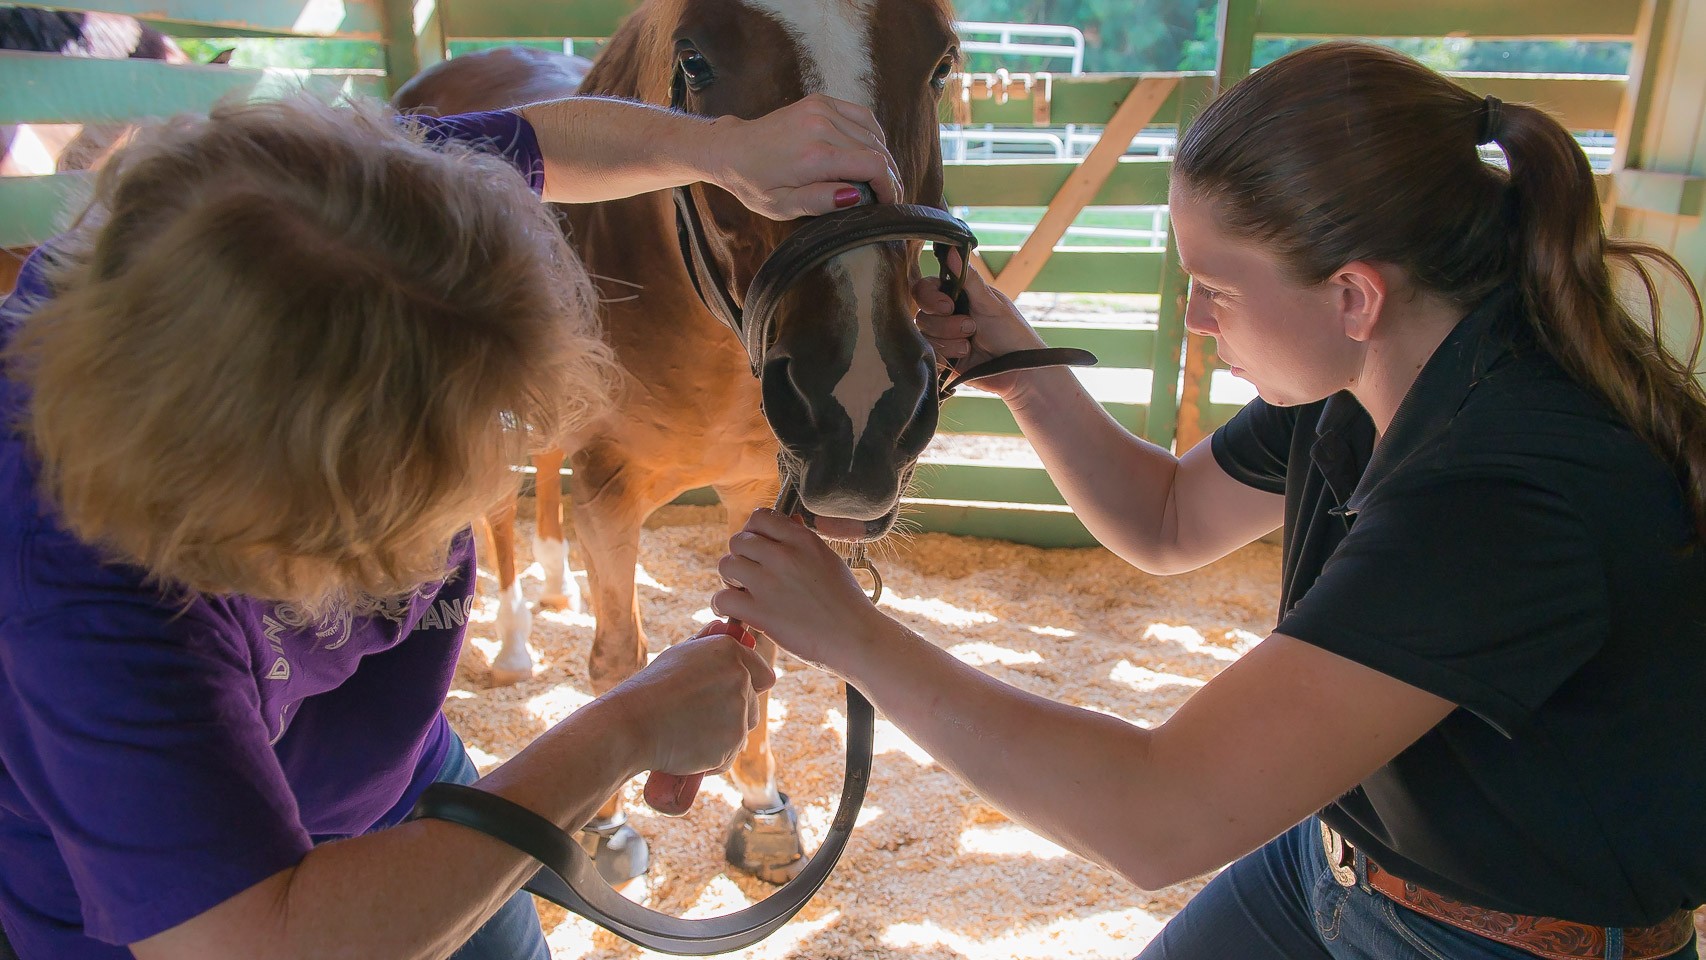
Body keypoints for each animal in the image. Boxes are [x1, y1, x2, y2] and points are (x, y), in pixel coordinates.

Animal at [392, 0, 969, 879]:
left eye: (941, 64)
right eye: (695, 61)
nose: (861, 403)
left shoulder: (761, 491)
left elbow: (757, 655)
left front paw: (762, 809)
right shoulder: (610, 491)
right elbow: (617, 659)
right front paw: (602, 826)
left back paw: (556, 588)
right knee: (495, 515)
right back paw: (517, 641)